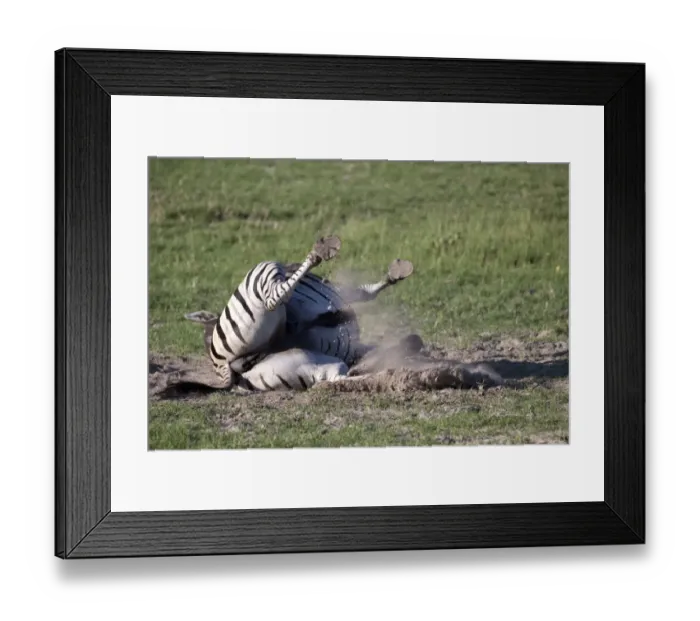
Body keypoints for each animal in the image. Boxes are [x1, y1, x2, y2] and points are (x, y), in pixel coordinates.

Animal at [184, 235, 416, 392]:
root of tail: (223, 368)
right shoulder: (338, 292)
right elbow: (366, 293)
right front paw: (397, 273)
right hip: (264, 273)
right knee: (273, 298)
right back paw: (319, 253)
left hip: (309, 363)